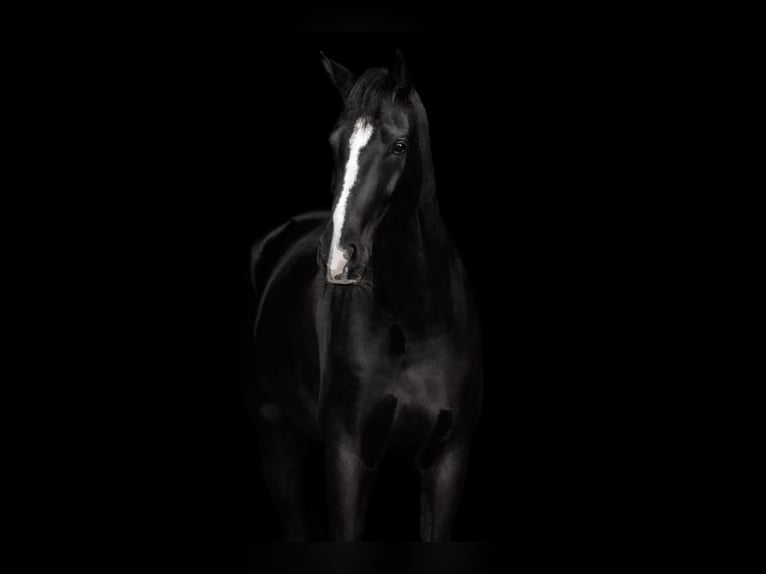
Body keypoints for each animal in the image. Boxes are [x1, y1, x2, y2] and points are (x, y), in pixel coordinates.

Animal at [248, 51, 483, 541]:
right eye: (335, 143)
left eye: (399, 146)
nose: (338, 256)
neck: (414, 323)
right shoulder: (347, 457)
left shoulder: (449, 459)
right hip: (274, 434)